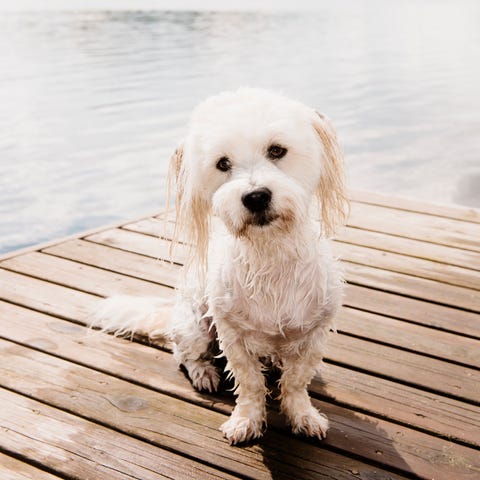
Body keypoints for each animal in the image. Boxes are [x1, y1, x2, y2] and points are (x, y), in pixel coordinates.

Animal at [93, 88, 348, 444]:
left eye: (277, 150)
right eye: (223, 163)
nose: (256, 196)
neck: (269, 254)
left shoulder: (314, 334)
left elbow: (296, 382)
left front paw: (302, 415)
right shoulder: (232, 336)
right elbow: (250, 383)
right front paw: (246, 421)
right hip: (194, 327)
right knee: (184, 353)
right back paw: (204, 372)